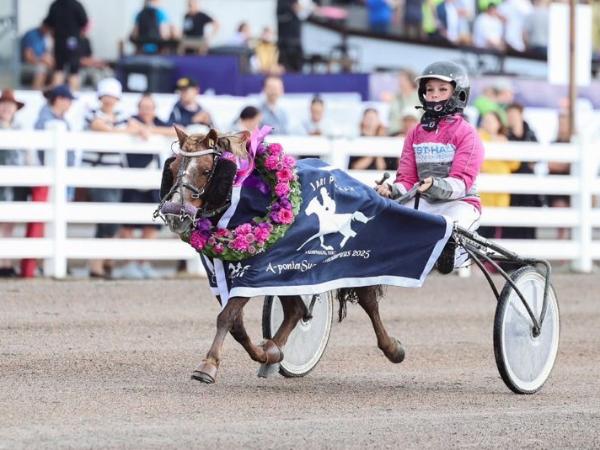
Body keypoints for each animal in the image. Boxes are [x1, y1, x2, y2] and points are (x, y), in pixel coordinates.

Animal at [159, 126, 405, 384]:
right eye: (172, 168)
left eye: (206, 170)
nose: (175, 214)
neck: (241, 203)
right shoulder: (227, 274)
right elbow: (236, 324)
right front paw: (267, 353)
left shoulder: (254, 271)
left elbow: (226, 317)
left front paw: (208, 364)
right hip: (288, 274)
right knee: (296, 311)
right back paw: (273, 351)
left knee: (368, 301)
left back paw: (392, 348)